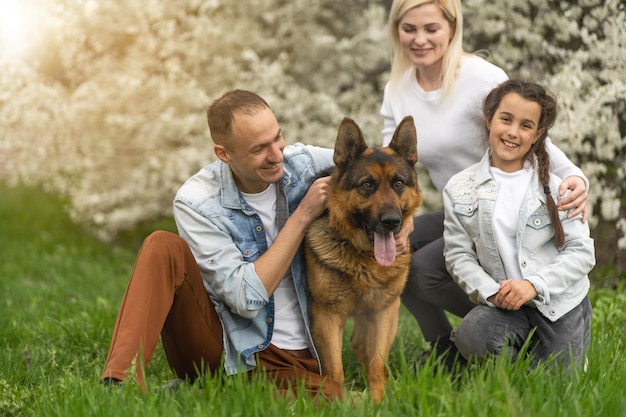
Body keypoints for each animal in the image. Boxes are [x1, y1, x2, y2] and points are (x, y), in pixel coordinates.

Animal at [304, 115, 422, 402]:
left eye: (398, 183)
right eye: (367, 184)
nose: (391, 222)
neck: (364, 260)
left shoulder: (385, 311)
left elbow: (377, 363)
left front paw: (379, 402)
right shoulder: (327, 315)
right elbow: (334, 370)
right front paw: (338, 402)